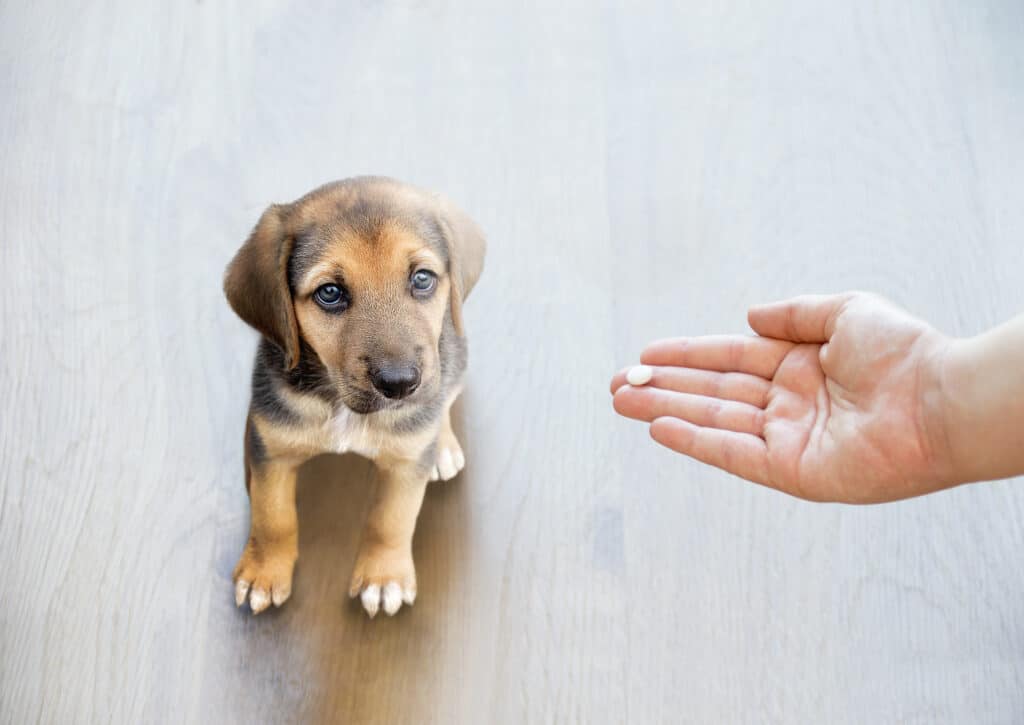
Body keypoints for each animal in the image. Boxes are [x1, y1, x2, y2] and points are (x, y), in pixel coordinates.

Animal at [223, 175, 483, 618]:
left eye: (422, 279)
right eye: (329, 292)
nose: (400, 384)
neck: (342, 405)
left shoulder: (406, 464)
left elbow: (391, 519)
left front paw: (384, 577)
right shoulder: (271, 448)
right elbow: (273, 516)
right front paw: (264, 572)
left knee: (445, 396)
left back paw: (443, 445)